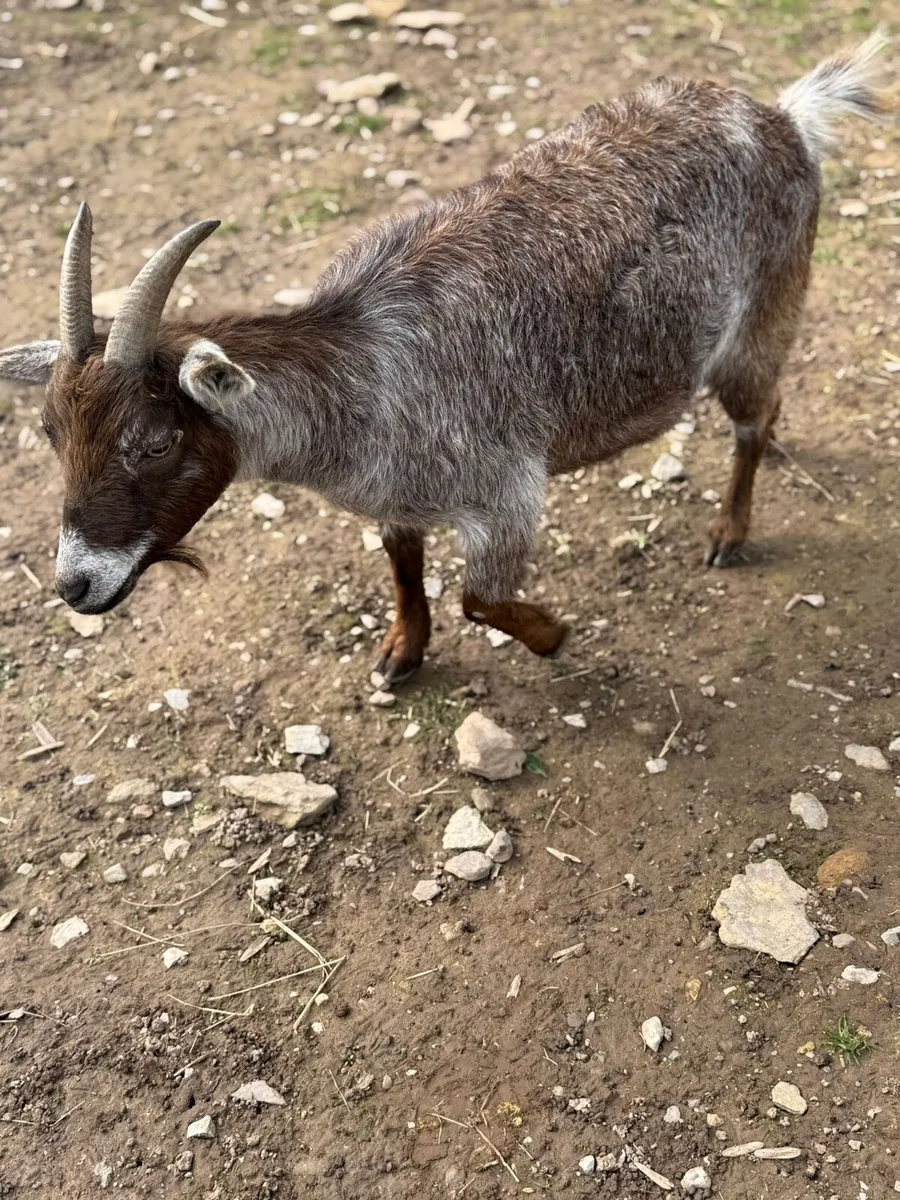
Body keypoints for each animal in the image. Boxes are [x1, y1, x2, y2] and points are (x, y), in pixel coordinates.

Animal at [0, 37, 885, 685]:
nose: (74, 584)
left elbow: (480, 599)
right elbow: (401, 561)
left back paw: (730, 532)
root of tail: (785, 117)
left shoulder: (507, 491)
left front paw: (554, 633)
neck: (363, 368)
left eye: (154, 440)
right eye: (49, 433)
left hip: (760, 315)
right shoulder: (398, 491)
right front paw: (402, 652)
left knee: (754, 412)